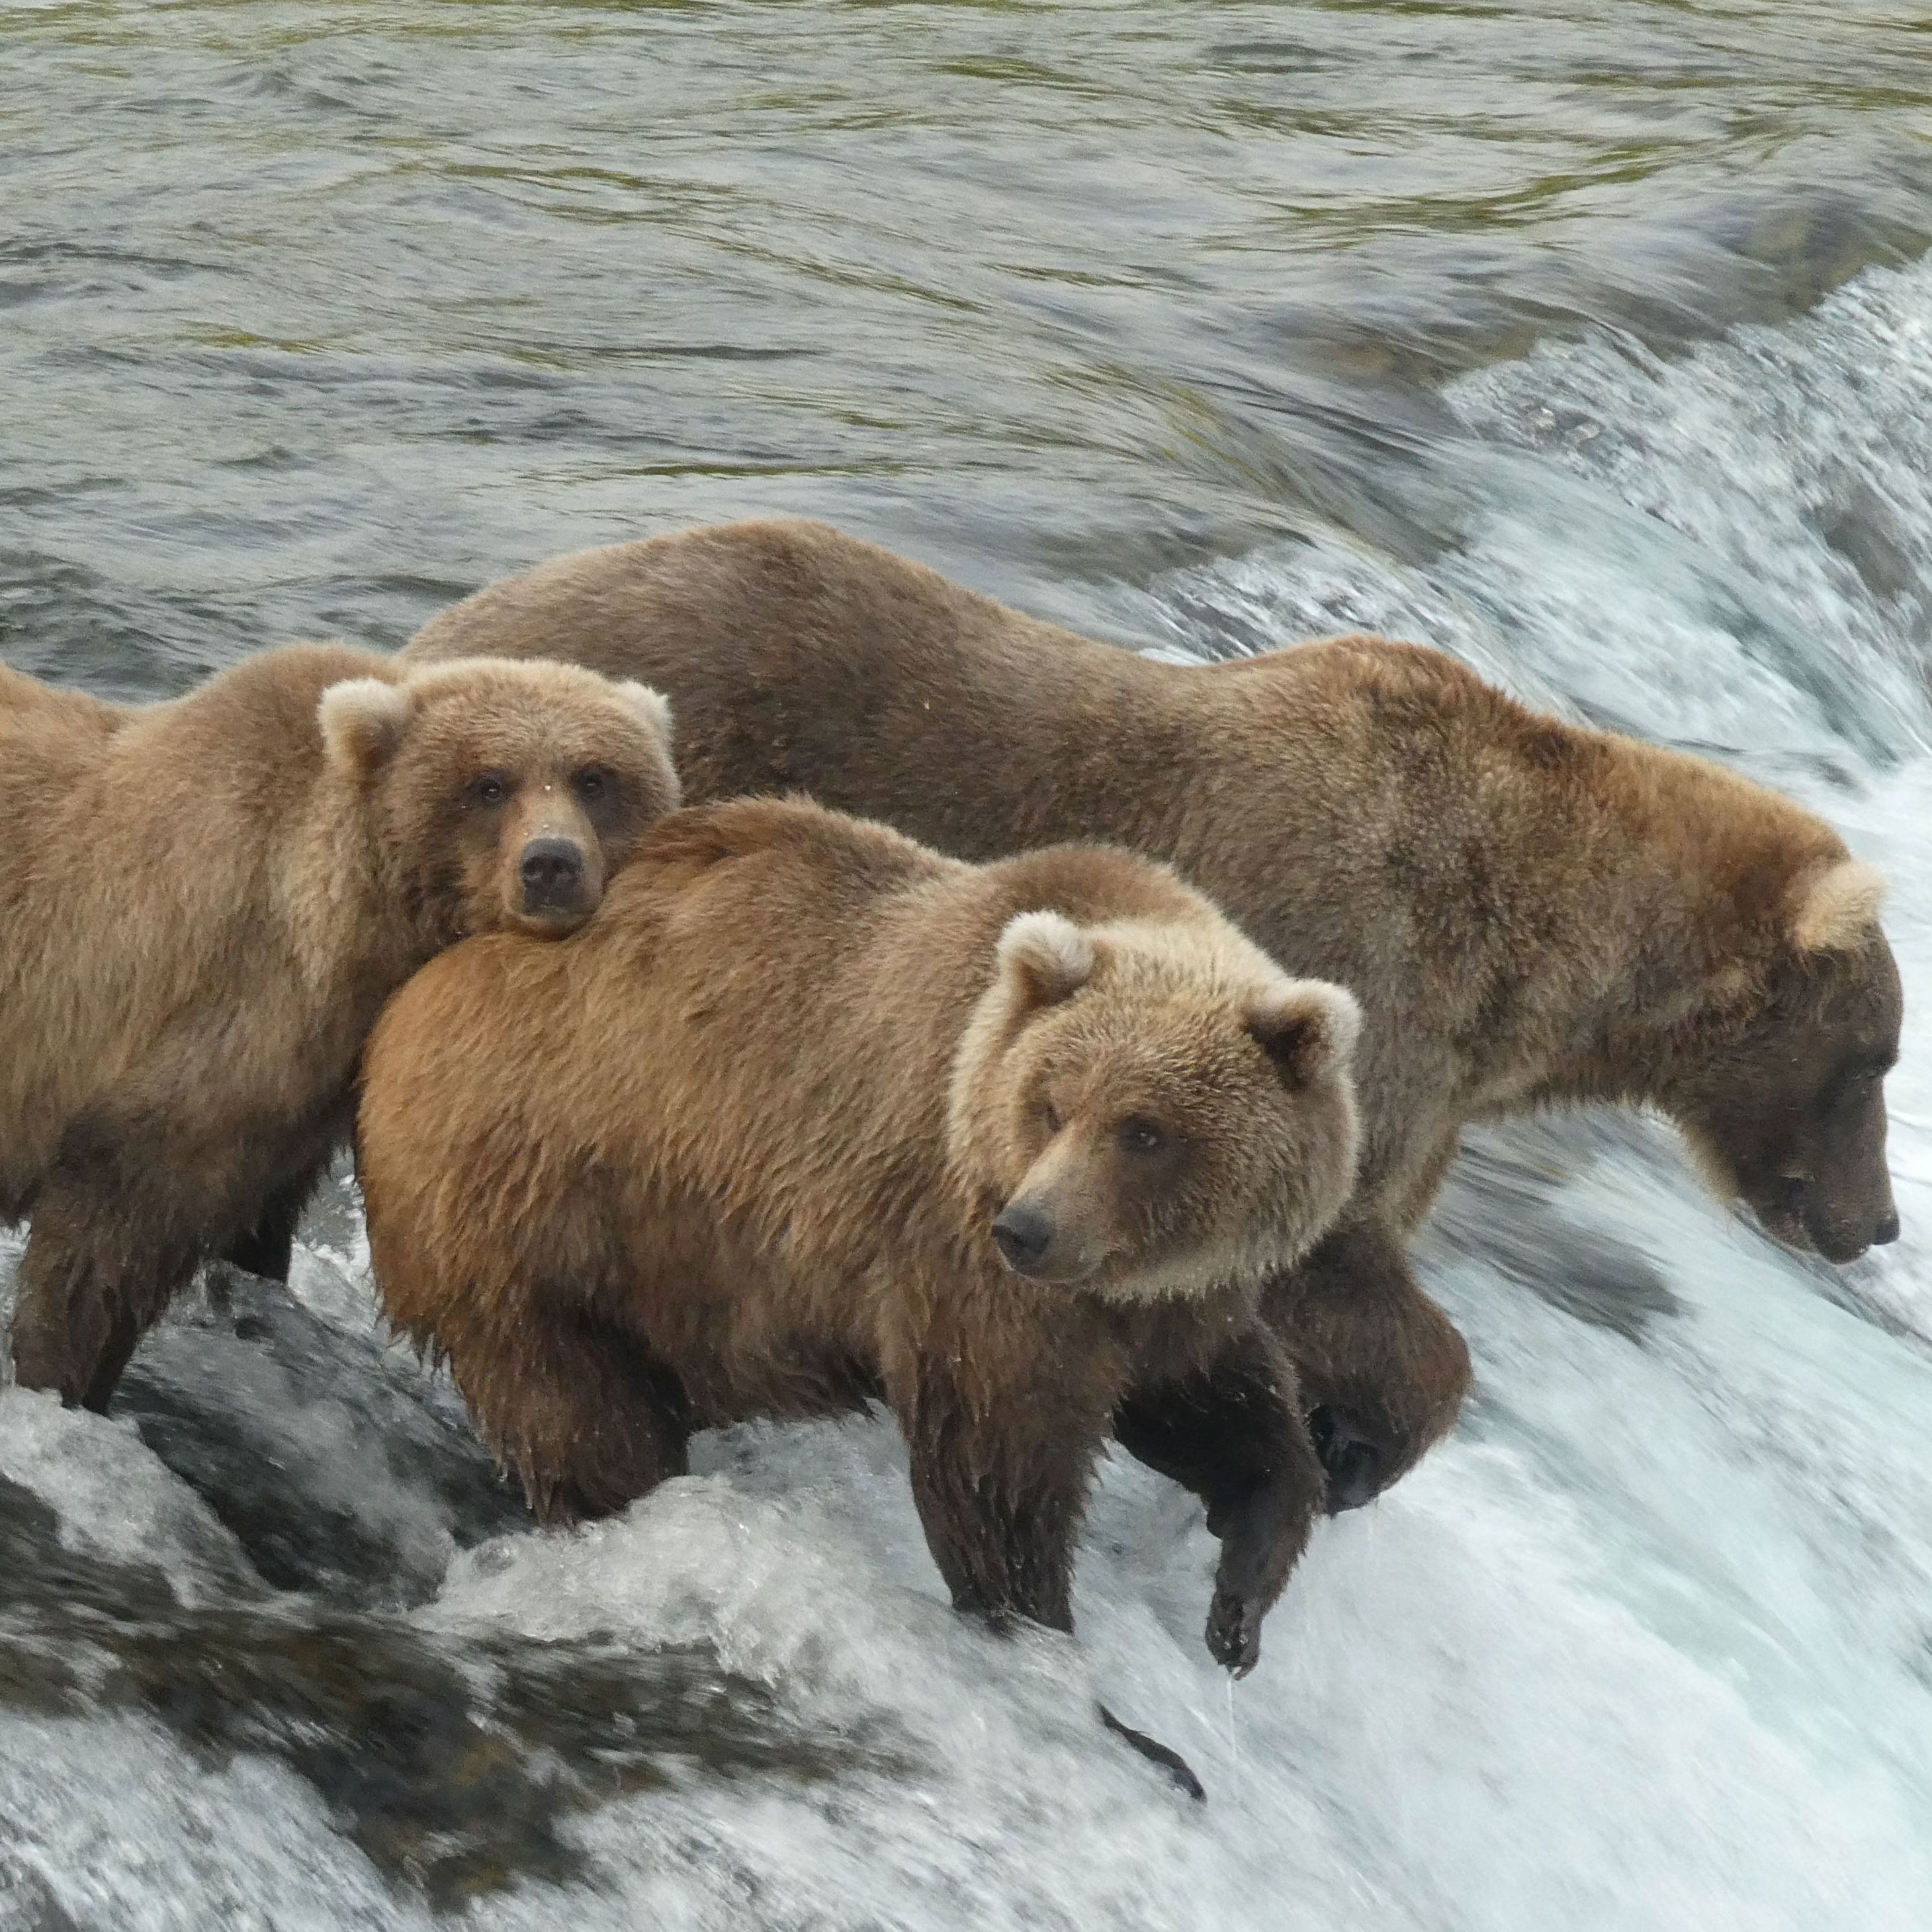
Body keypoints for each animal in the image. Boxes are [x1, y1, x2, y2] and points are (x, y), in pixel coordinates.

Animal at [0, 645, 681, 1412]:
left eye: (594, 778)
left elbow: (255, 1210)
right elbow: (112, 1216)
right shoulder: (222, 1012)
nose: (551, 863)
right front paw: (60, 1377)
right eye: (489, 784)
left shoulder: (307, 1085)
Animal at [357, 795, 1364, 1679]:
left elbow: (1219, 1409)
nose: (1028, 1230)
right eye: (1051, 1104)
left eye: (1145, 1130)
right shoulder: (967, 1266)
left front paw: (1240, 1601)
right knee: (576, 1412)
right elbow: (998, 1467)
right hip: (533, 1209)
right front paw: (1036, 1623)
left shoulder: (1166, 1297)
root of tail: (409, 1003)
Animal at [401, 517, 1905, 1518]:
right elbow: (1324, 1262)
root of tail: (430, 644)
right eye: (1876, 1061)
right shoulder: (1345, 968)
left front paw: (1327, 1440)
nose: (1878, 1221)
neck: (1519, 967)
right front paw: (1359, 1446)